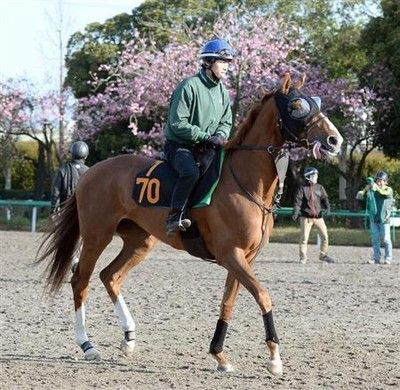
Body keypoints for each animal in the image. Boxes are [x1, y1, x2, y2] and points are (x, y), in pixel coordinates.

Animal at [37, 73, 342, 374]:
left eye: (316, 101)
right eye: (297, 106)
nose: (334, 139)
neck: (244, 184)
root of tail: (91, 172)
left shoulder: (245, 258)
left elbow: (228, 303)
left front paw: (219, 355)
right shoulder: (231, 255)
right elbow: (263, 295)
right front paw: (274, 357)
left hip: (140, 242)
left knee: (110, 276)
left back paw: (129, 338)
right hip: (97, 235)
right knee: (81, 280)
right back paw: (87, 345)